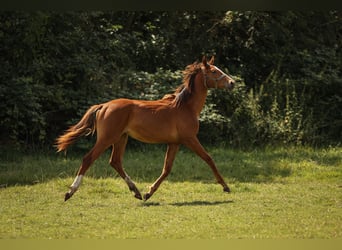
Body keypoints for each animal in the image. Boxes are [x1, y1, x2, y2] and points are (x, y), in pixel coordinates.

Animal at [57, 56, 236, 201]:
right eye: (213, 71)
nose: (232, 83)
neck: (186, 107)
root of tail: (104, 106)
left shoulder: (175, 143)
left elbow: (167, 169)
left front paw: (148, 193)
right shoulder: (190, 139)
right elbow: (209, 159)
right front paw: (225, 186)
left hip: (121, 138)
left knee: (115, 161)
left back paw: (136, 191)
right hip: (107, 138)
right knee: (88, 158)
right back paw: (70, 192)